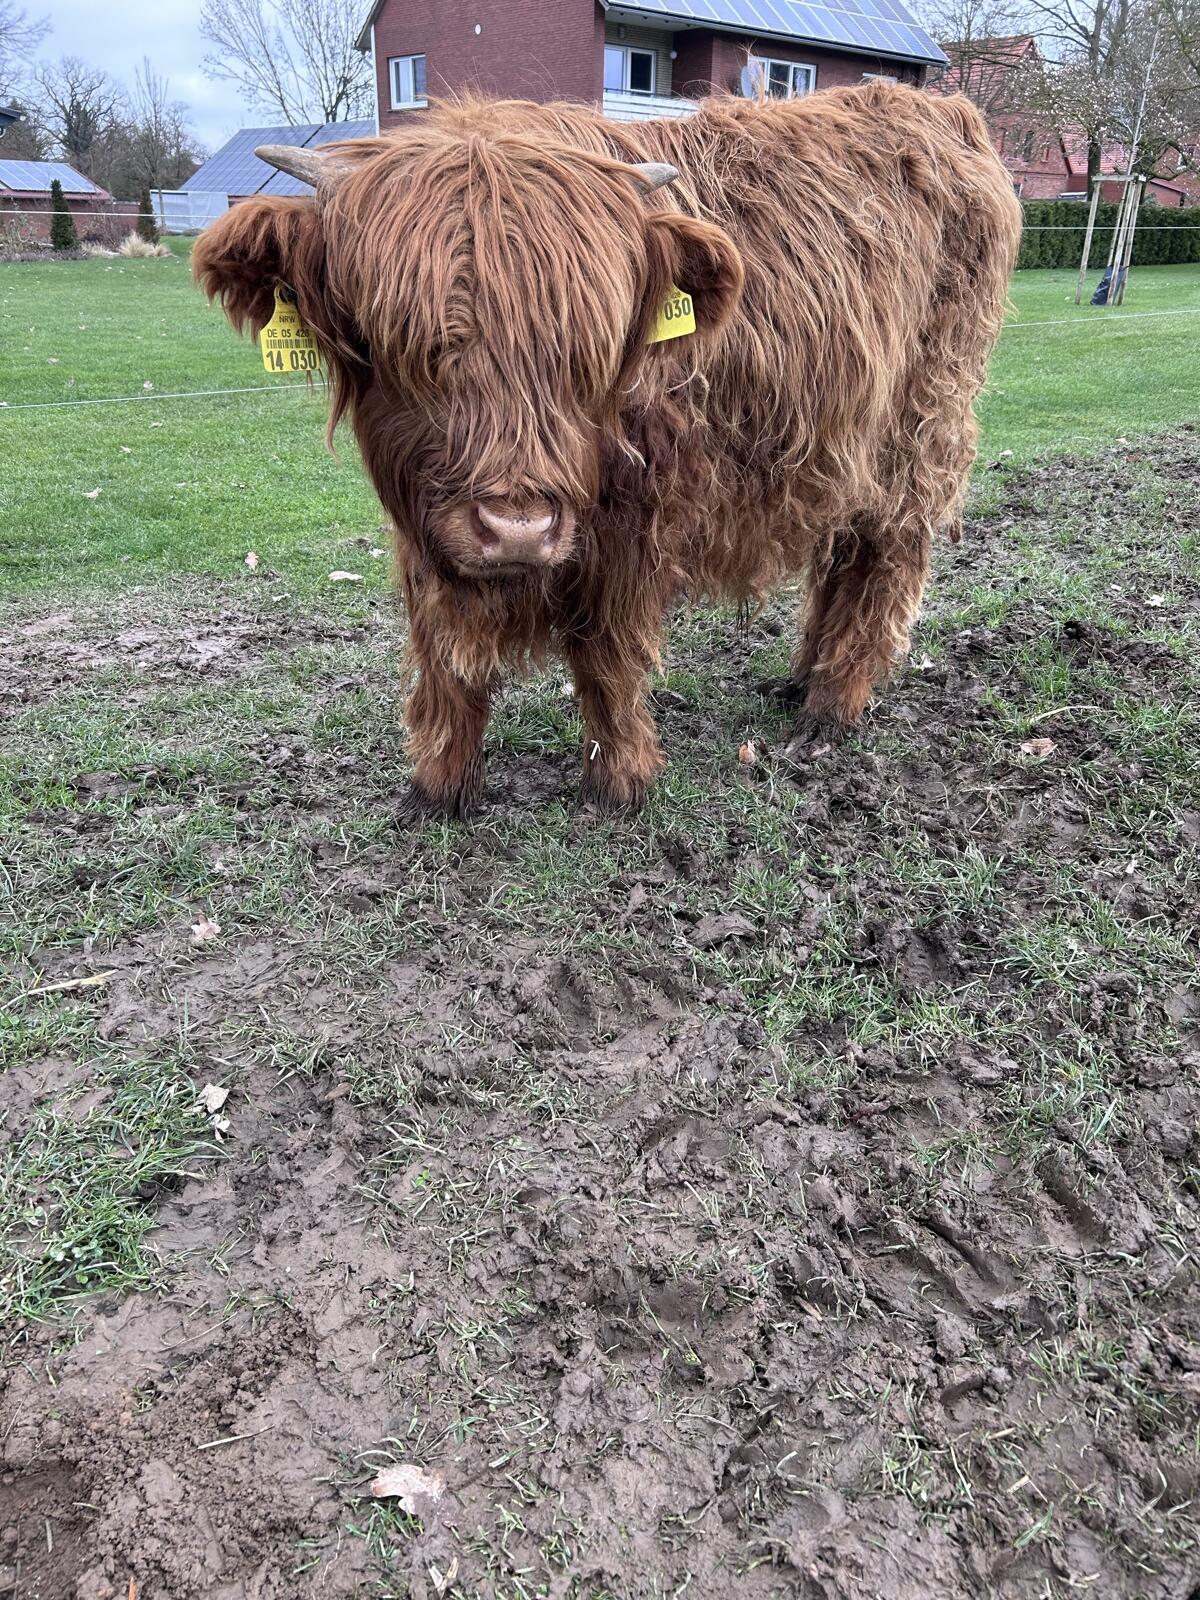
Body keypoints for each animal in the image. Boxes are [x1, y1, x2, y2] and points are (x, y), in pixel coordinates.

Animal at [194, 83, 1021, 815]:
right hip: (845, 441)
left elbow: (606, 653)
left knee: (888, 553)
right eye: (392, 339)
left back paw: (832, 705)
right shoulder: (423, 531)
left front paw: (618, 783)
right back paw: (799, 677)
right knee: (843, 551)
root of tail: (941, 111)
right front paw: (438, 788)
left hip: (920, 426)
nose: (517, 529)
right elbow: (444, 654)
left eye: (587, 349)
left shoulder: (630, 522)